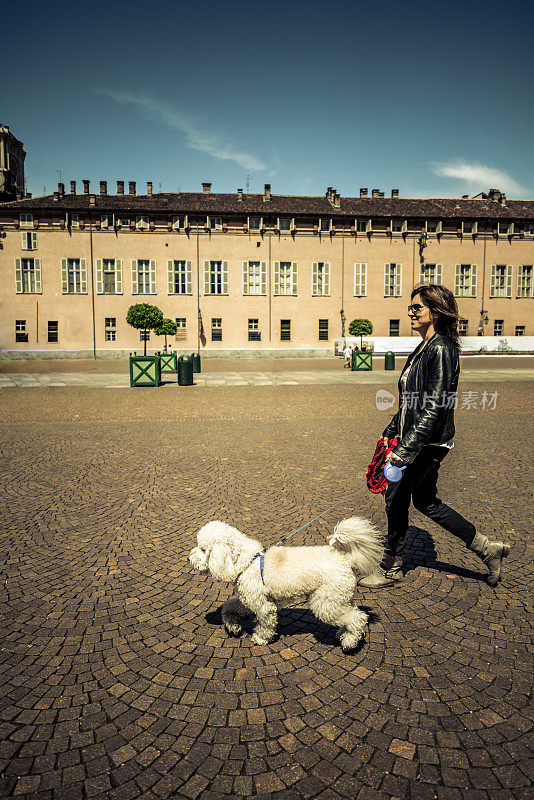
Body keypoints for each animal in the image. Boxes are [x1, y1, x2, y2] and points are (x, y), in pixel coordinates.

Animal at [188, 520, 386, 648]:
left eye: (203, 550)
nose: (189, 558)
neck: (247, 561)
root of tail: (345, 559)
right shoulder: (249, 598)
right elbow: (229, 607)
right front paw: (232, 626)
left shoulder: (263, 606)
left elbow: (265, 624)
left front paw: (260, 638)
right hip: (339, 598)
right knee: (353, 614)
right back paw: (343, 634)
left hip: (325, 603)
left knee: (357, 618)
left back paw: (350, 643)